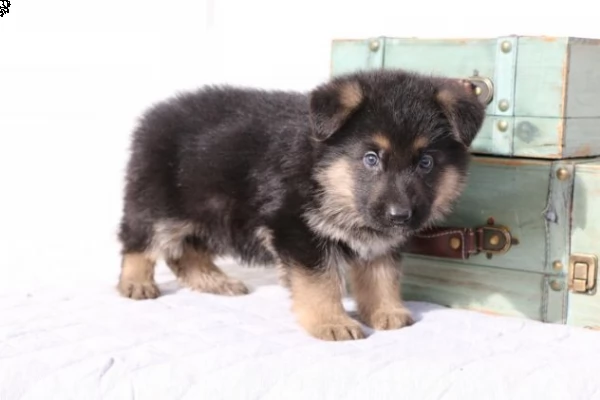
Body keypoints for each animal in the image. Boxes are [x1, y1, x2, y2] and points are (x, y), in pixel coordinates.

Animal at [117, 68, 488, 340]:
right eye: (371, 159)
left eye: (426, 163)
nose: (400, 216)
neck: (322, 172)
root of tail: (155, 115)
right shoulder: (298, 230)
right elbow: (320, 282)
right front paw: (332, 322)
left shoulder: (379, 241)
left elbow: (381, 276)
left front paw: (386, 311)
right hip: (158, 202)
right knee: (138, 239)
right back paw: (135, 283)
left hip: (206, 211)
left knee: (185, 251)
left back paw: (214, 281)